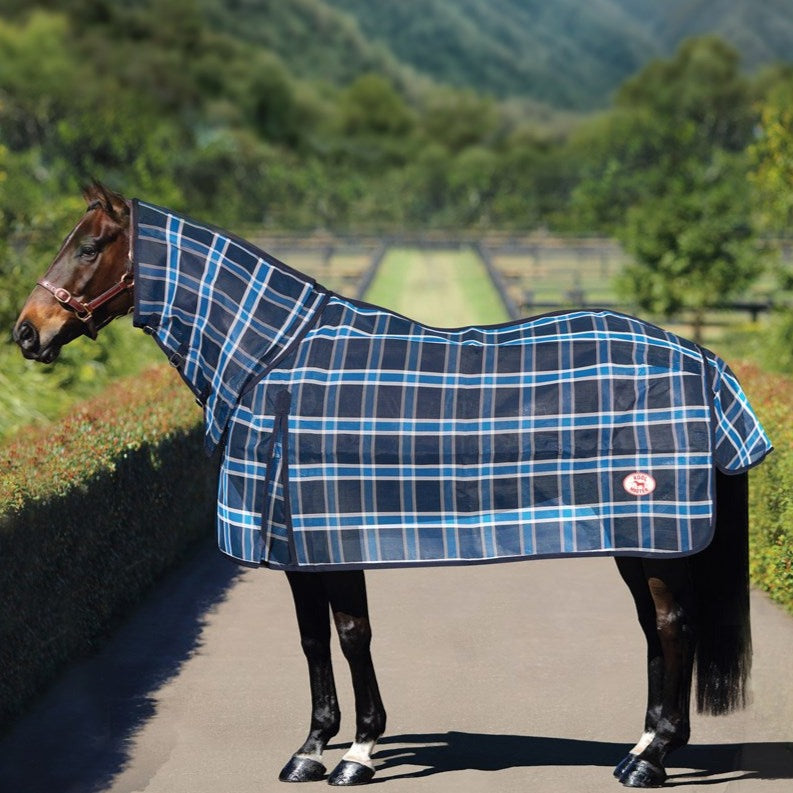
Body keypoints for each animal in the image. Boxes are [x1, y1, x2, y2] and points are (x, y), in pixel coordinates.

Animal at [13, 183, 770, 788]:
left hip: (656, 533)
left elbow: (352, 635)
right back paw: (637, 747)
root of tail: (703, 359)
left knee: (673, 625)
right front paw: (310, 748)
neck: (272, 361)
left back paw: (653, 759)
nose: (26, 332)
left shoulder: (334, 536)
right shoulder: (296, 545)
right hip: (637, 538)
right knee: (652, 628)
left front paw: (358, 753)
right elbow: (312, 640)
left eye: (92, 244)